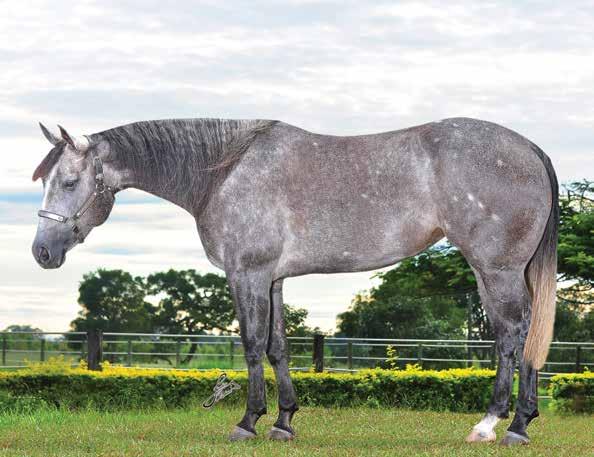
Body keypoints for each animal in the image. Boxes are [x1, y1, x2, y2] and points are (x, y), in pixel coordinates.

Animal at [31, 116, 556, 446]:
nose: (42, 252)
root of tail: (530, 148)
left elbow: (250, 346)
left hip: (496, 269)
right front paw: (284, 422)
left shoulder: (247, 274)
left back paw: (497, 425)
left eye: (70, 182)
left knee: (512, 335)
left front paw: (247, 422)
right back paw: (520, 422)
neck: (223, 172)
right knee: (524, 335)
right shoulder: (275, 279)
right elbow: (278, 347)